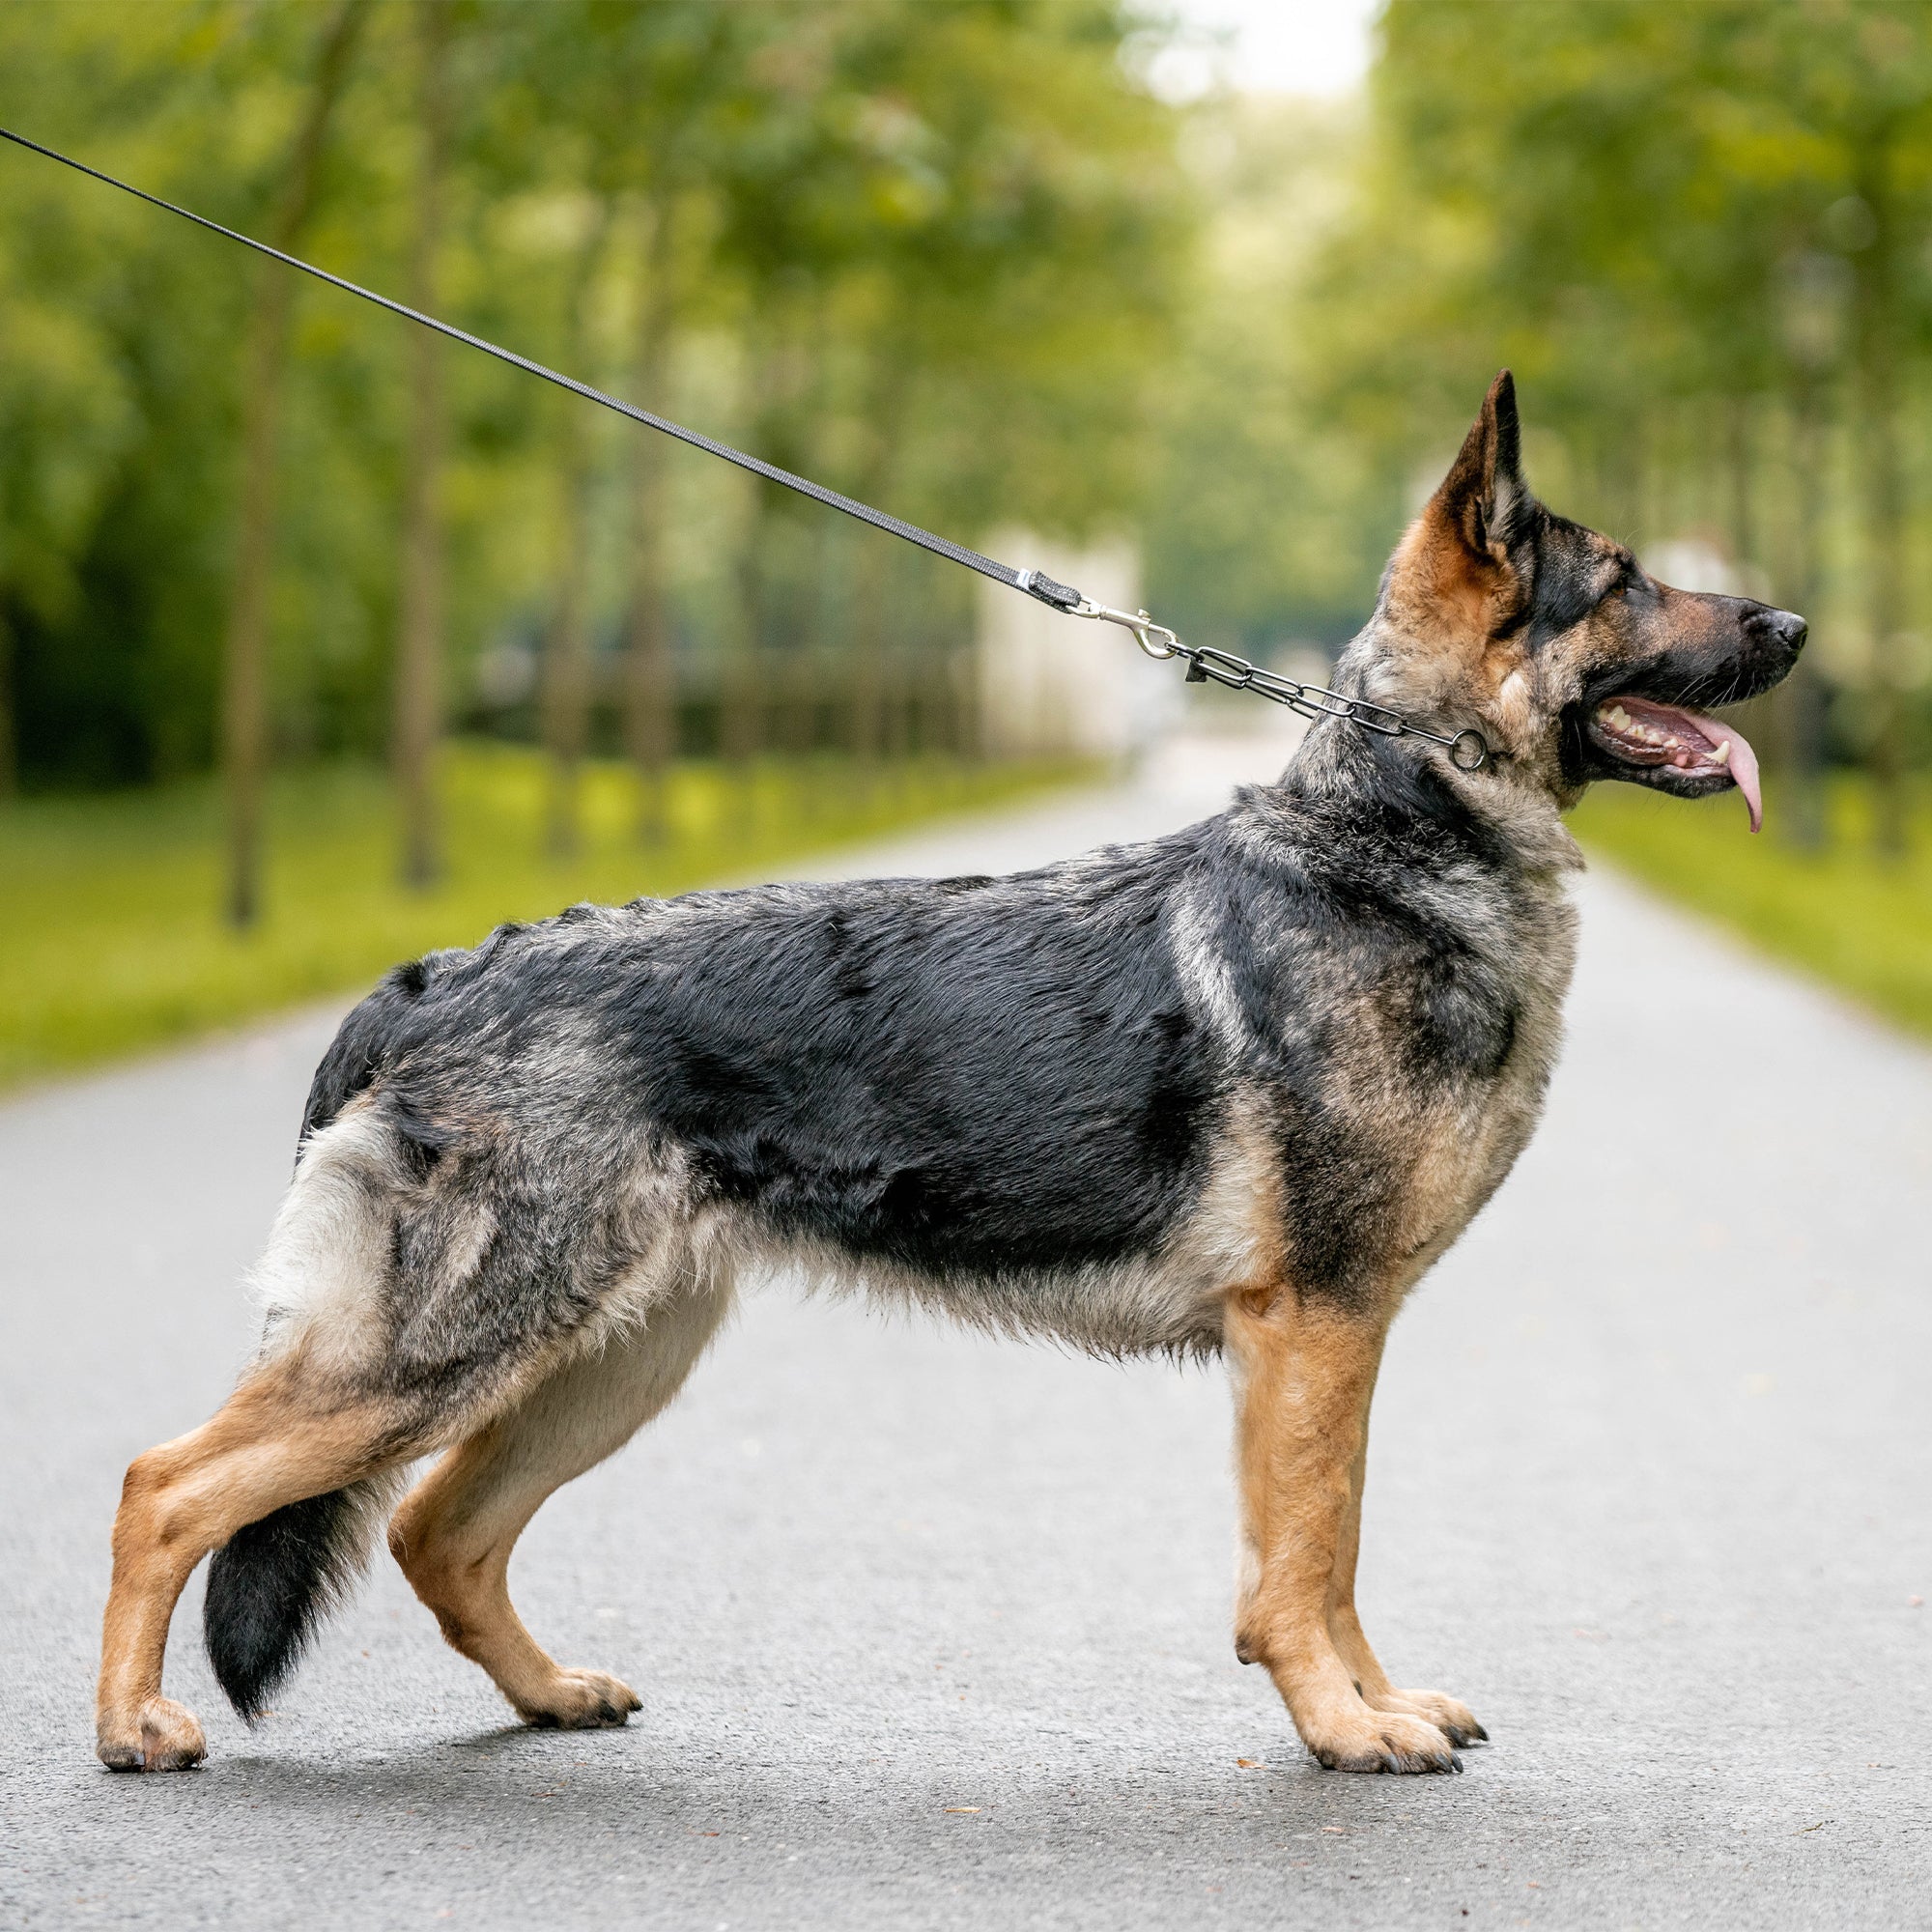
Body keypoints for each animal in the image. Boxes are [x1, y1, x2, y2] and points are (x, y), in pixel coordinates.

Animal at [98, 369, 1801, 1770]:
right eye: (1627, 583)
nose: (1795, 630)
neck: (1392, 834)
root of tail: (436, 975)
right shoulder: (1314, 1326)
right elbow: (1304, 1562)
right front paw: (1341, 1723)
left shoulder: (1338, 1334)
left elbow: (1339, 1547)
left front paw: (1371, 1704)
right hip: (443, 1355)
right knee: (166, 1485)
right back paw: (133, 1727)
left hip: (606, 1360)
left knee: (439, 1534)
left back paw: (548, 1697)